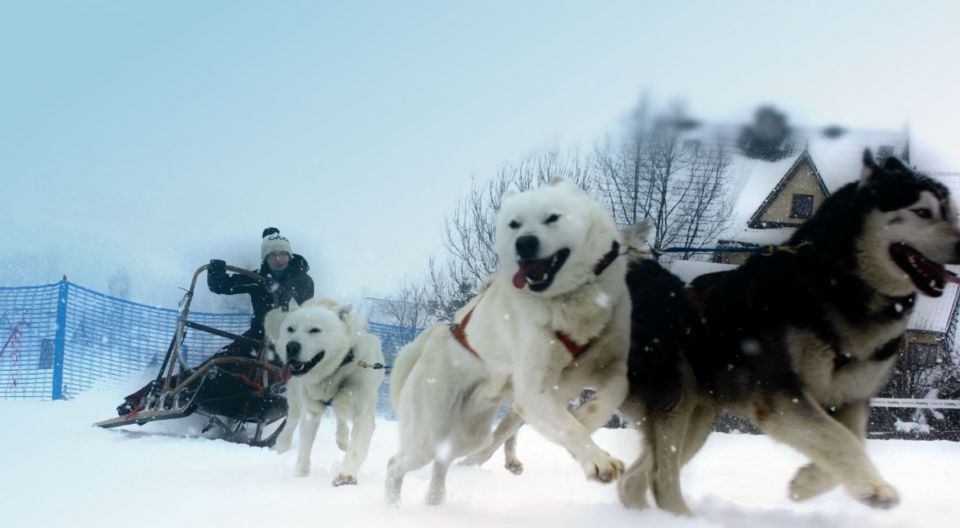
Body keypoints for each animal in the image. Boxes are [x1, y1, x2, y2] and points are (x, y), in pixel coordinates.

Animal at [266, 296, 386, 486]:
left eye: (315, 330)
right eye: (290, 329)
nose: (291, 346)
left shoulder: (363, 413)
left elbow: (356, 448)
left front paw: (346, 475)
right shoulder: (311, 412)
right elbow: (304, 451)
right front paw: (299, 478)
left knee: (340, 416)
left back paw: (343, 439)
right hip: (296, 394)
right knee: (292, 418)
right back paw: (283, 443)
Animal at [386, 176, 632, 504]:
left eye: (552, 217)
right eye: (514, 224)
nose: (524, 243)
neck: (570, 304)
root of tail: (431, 341)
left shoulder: (603, 365)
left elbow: (615, 391)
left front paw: (586, 418)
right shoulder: (532, 391)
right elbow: (567, 426)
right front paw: (596, 459)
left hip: (469, 434)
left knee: (445, 458)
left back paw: (434, 500)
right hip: (429, 432)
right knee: (396, 463)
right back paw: (393, 505)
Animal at [616, 151, 960, 512]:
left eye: (952, 212)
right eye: (923, 212)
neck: (844, 290)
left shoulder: (851, 397)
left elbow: (853, 440)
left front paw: (807, 483)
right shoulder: (782, 395)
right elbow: (839, 438)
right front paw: (874, 488)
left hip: (700, 413)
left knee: (634, 479)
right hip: (676, 394)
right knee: (659, 477)